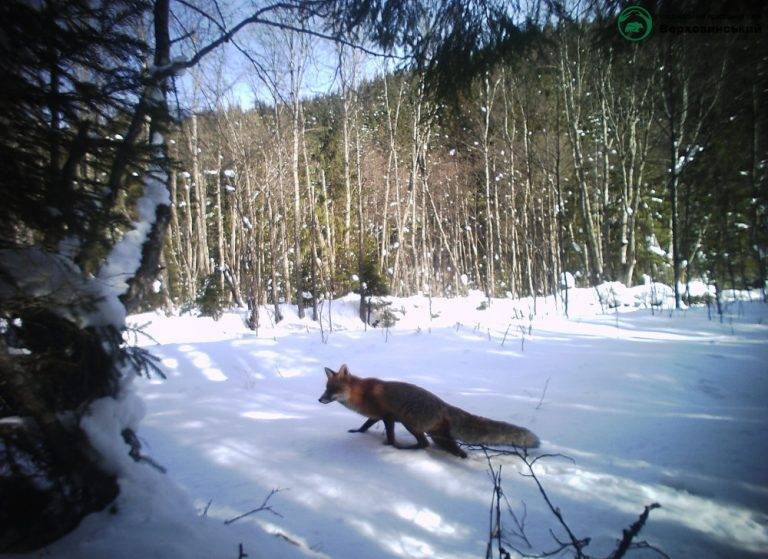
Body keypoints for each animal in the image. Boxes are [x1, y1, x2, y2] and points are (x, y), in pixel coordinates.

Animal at [320, 364, 540, 460]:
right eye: (326, 389)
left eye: (333, 390)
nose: (320, 400)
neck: (363, 394)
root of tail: (444, 406)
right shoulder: (376, 417)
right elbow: (364, 426)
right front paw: (357, 432)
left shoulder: (388, 416)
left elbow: (390, 436)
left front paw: (390, 447)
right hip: (438, 436)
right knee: (453, 450)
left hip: (410, 423)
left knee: (425, 444)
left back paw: (405, 449)